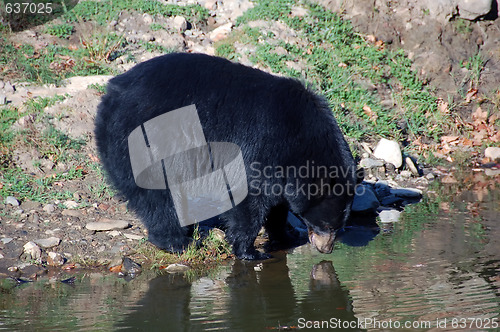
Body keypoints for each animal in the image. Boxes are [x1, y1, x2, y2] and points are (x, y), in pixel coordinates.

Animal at [94, 52, 360, 260]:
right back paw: (177, 241)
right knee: (156, 195)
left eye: (340, 225)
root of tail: (111, 92)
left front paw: (284, 235)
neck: (302, 138)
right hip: (145, 138)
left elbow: (276, 203)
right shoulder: (263, 141)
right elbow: (247, 197)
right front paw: (249, 251)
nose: (326, 249)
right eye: (327, 224)